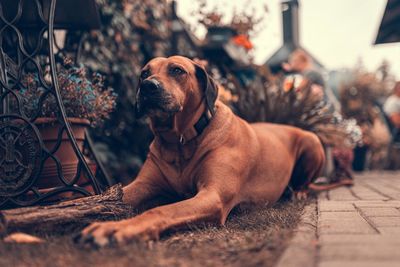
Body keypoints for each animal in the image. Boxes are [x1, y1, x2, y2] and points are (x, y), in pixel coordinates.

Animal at [77, 56, 324, 247]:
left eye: (177, 70)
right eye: (144, 73)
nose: (147, 86)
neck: (178, 141)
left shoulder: (212, 196)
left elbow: (160, 210)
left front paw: (116, 229)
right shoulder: (141, 185)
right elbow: (104, 196)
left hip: (312, 142)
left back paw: (298, 192)